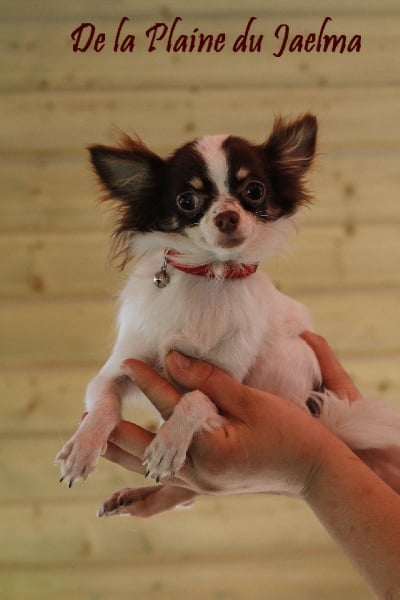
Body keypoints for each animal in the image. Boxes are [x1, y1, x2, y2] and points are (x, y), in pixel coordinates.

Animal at [56, 114, 400, 508]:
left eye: (254, 191)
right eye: (186, 199)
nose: (227, 217)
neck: (211, 276)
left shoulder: (227, 378)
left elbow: (197, 398)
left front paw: (170, 441)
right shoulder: (120, 367)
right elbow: (103, 403)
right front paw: (83, 447)